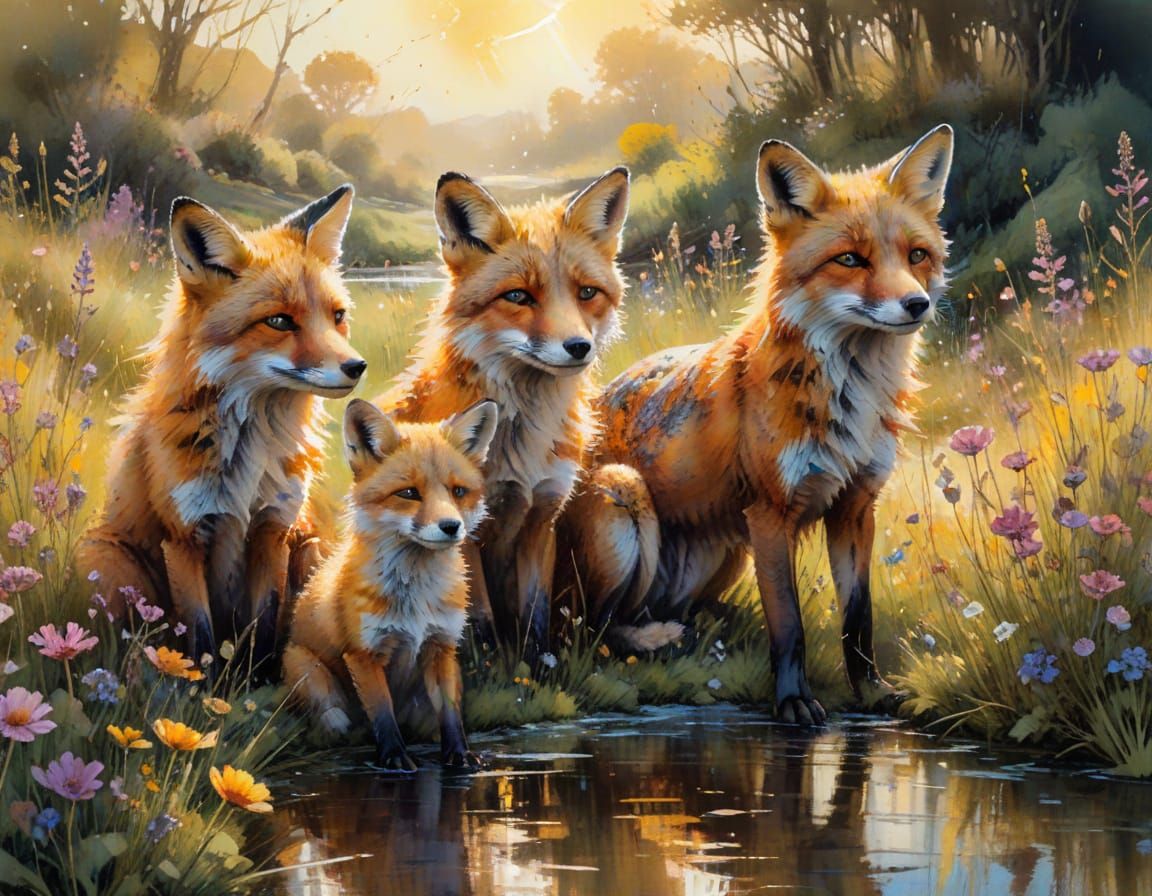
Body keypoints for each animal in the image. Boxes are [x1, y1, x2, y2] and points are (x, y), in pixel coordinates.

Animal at [77, 185, 366, 668]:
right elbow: (201, 635)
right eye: (279, 321)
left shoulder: (273, 529)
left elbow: (264, 623)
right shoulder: (183, 537)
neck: (250, 453)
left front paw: (260, 677)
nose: (356, 367)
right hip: (104, 556)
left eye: (338, 316)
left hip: (313, 550)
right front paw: (200, 681)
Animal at [282, 398, 498, 770]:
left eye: (458, 491)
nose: (451, 526)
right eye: (409, 493)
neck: (415, 598)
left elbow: (451, 715)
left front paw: (459, 755)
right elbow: (383, 713)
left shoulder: (441, 646)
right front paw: (395, 759)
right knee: (336, 722)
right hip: (312, 677)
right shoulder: (363, 654)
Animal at [376, 167, 630, 667]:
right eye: (518, 295)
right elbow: (480, 620)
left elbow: (534, 613)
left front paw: (537, 668)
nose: (579, 347)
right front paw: (486, 668)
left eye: (587, 293)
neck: (521, 442)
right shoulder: (468, 529)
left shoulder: (541, 517)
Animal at [559, 125, 955, 724]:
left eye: (917, 255)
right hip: (624, 501)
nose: (917, 304)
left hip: (727, 552)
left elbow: (857, 620)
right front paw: (793, 702)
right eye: (850, 259)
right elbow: (789, 625)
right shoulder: (770, 513)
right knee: (589, 630)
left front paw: (872, 691)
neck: (849, 398)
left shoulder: (856, 507)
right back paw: (652, 640)